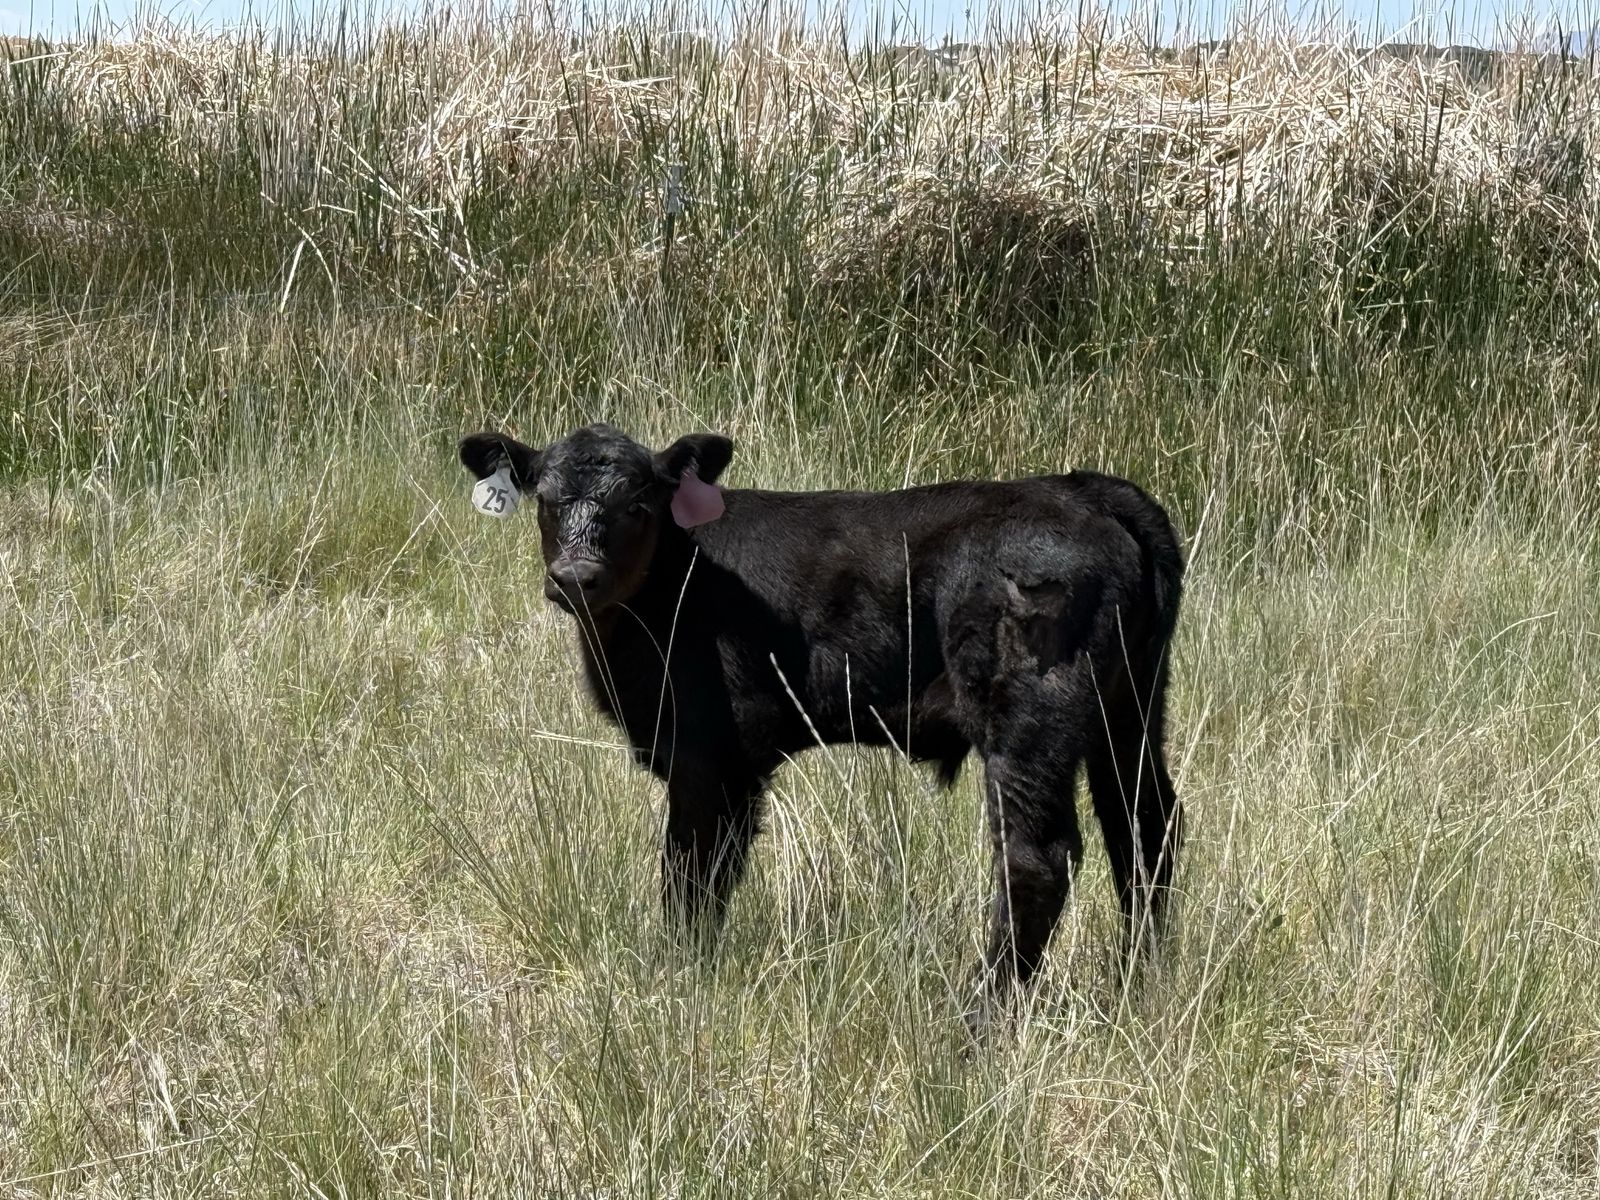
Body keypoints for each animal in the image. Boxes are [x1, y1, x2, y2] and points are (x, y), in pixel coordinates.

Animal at [459, 423, 1184, 1028]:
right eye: (547, 500)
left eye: (637, 505)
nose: (575, 576)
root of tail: (1078, 488)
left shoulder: (712, 753)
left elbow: (691, 870)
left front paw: (679, 977)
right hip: (1131, 709)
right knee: (1144, 824)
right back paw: (1141, 983)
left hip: (1030, 717)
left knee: (1037, 858)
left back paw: (982, 1016)